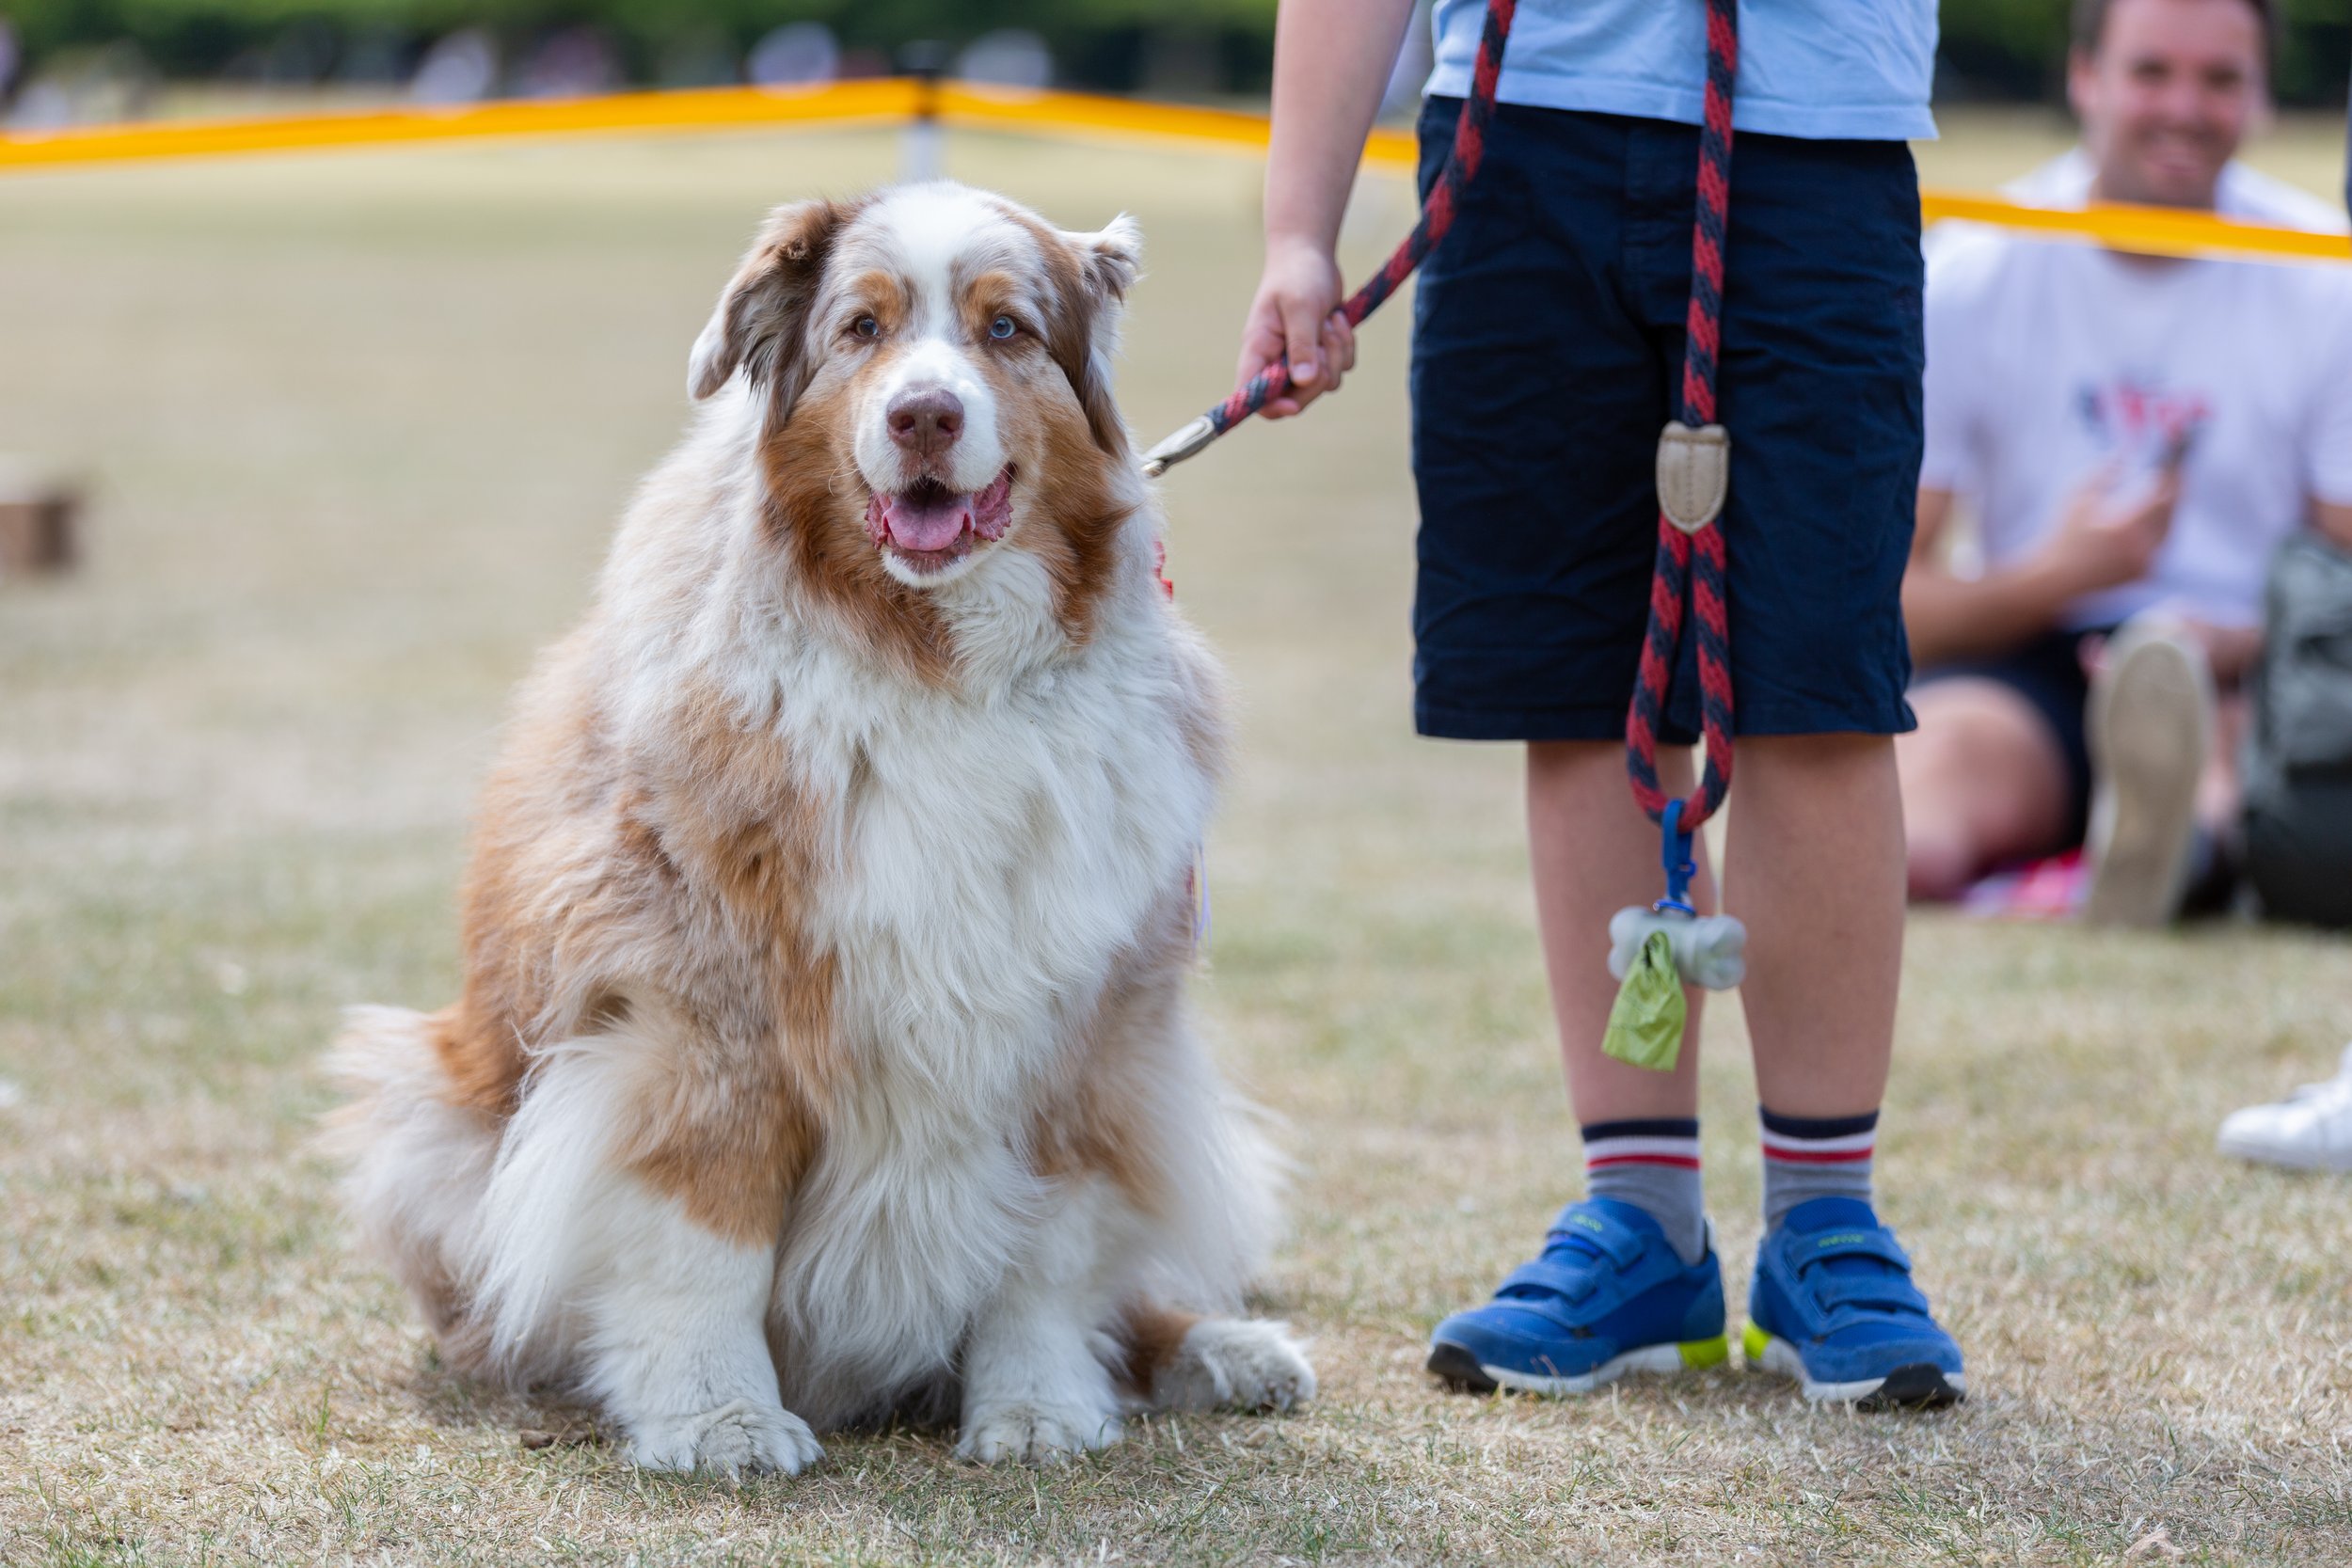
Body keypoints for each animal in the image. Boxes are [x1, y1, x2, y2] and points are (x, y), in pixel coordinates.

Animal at [329, 181, 1317, 1476]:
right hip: (426, 1116)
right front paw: (719, 1418)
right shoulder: (699, 1005)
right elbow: (708, 1228)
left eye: (1007, 330)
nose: (923, 415)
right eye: (861, 328)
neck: (931, 657)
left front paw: (1039, 1405)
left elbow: (1050, 1244)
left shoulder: (1092, 1021)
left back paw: (1224, 1349)